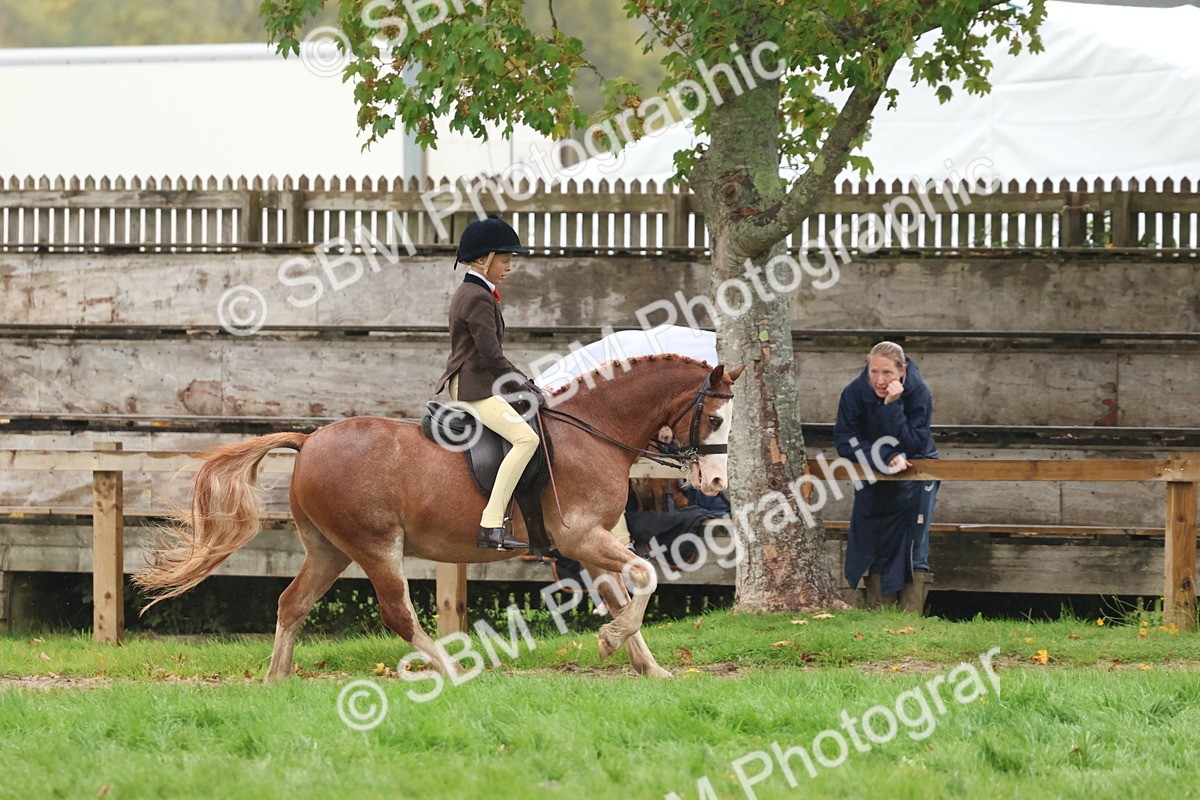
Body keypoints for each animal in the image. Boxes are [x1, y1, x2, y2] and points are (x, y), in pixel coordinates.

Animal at [134, 355, 742, 680]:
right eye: (713, 418)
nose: (716, 485)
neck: (593, 429)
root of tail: (309, 442)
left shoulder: (590, 545)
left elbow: (623, 593)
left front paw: (647, 666)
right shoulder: (582, 538)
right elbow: (646, 575)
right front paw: (613, 641)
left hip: (329, 550)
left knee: (292, 603)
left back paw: (276, 679)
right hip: (376, 545)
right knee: (397, 613)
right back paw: (452, 672)